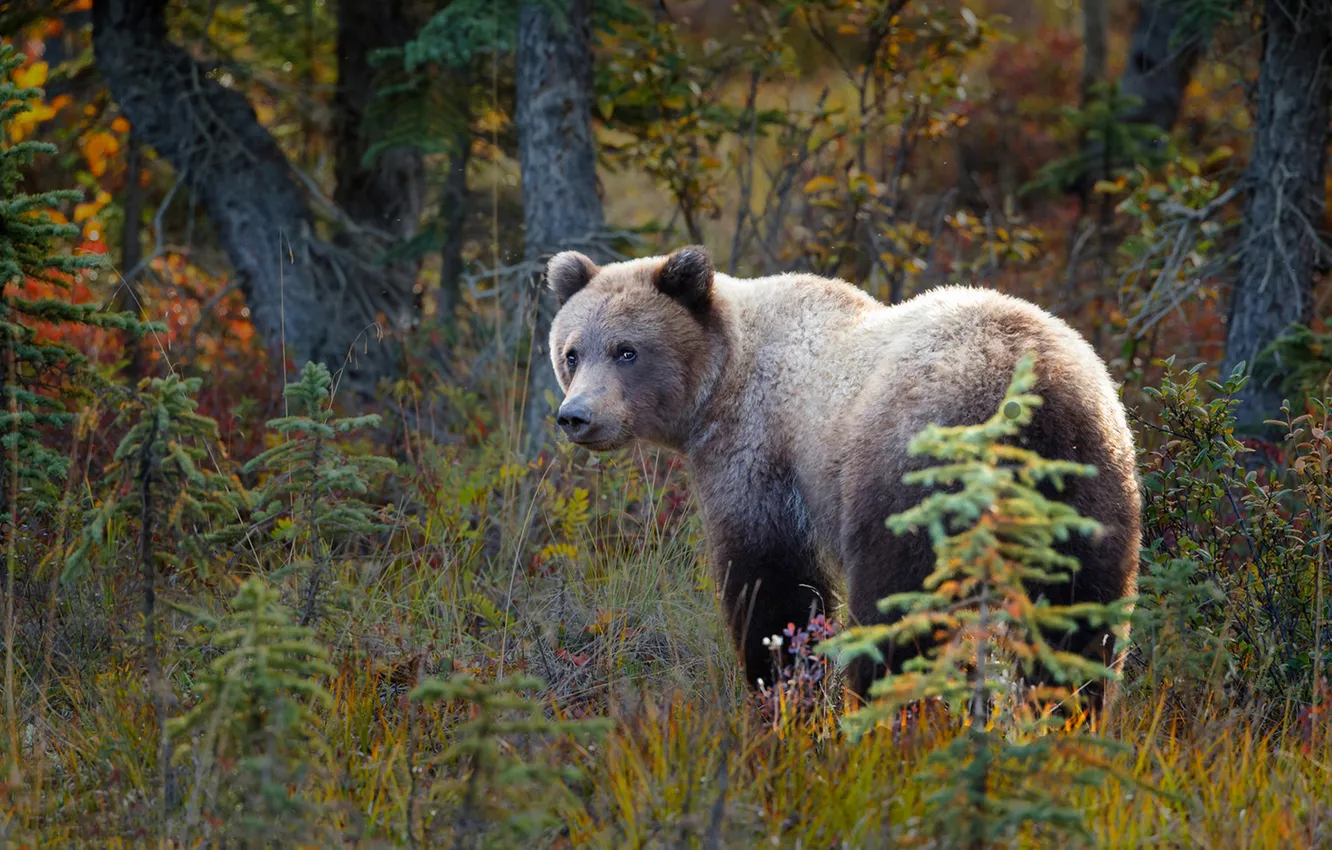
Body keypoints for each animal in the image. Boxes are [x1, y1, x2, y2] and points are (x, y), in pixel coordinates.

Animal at [544, 245, 1141, 706]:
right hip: (1087, 473)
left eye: (626, 351)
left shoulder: (761, 455)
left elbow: (774, 586)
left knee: (899, 608)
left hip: (908, 470)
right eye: (572, 352)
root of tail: (1025, 394)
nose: (577, 417)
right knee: (1081, 613)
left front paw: (782, 690)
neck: (722, 383)